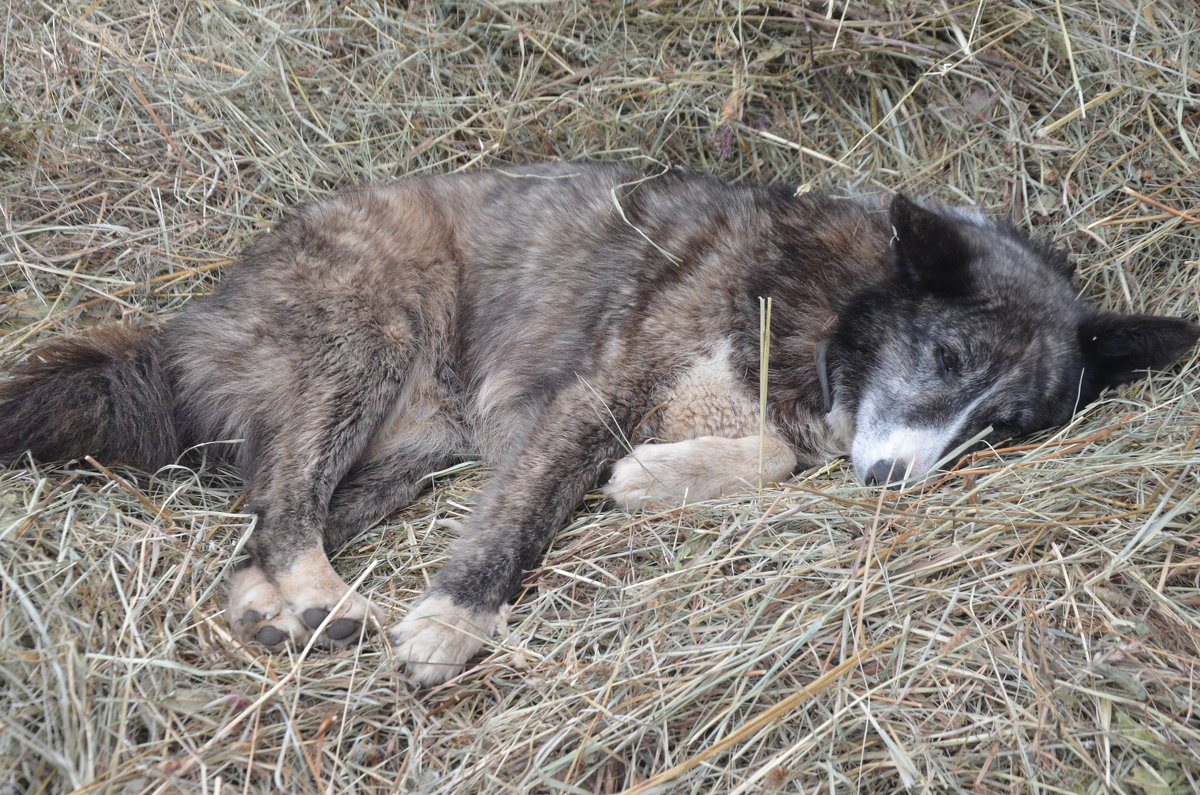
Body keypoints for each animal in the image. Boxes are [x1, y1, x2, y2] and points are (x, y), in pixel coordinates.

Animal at [2, 160, 1200, 686]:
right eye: (948, 362)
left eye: (1006, 427)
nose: (895, 486)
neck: (829, 302)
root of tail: (188, 325)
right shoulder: (591, 395)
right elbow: (522, 515)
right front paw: (455, 620)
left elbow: (769, 450)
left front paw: (654, 479)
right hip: (364, 343)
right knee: (284, 513)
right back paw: (327, 603)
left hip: (402, 457)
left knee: (252, 540)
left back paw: (285, 610)